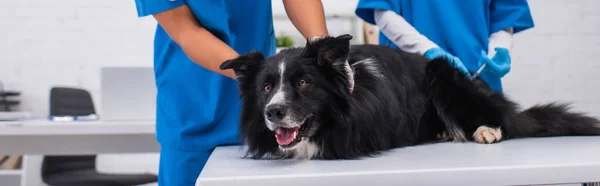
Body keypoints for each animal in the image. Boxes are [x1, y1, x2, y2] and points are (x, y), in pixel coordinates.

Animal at [219, 34, 600, 159]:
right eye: (266, 88)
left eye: (302, 83)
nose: (273, 112)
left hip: (442, 72)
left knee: (497, 118)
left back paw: (486, 130)